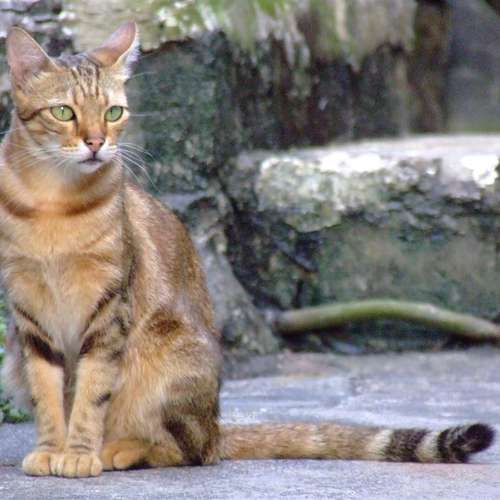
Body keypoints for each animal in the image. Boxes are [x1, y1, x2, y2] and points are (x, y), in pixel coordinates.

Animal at [0, 22, 494, 478]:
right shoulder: (30, 314)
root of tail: (218, 426)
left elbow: (90, 393)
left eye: (114, 111)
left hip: (169, 362)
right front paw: (52, 449)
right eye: (63, 112)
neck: (53, 204)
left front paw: (80, 453)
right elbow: (49, 393)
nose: (96, 142)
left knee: (189, 450)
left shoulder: (109, 310)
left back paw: (120, 449)